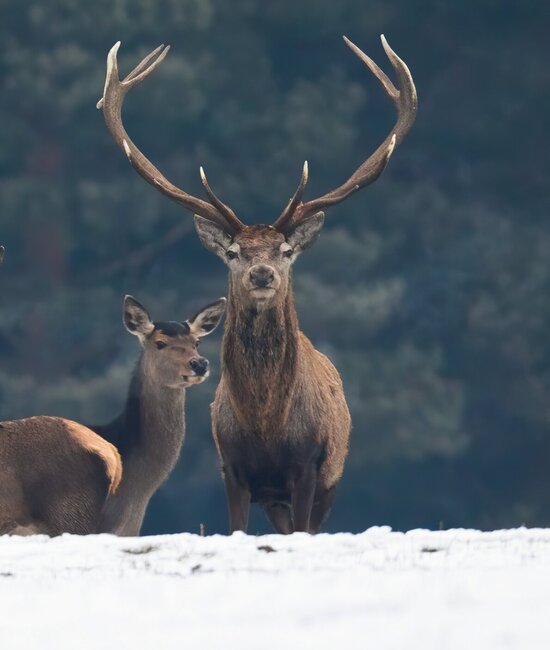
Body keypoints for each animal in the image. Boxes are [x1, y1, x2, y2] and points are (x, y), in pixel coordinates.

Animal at [99, 35, 418, 528]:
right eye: (234, 253)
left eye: (285, 252)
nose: (262, 272)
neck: (266, 425)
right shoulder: (233, 469)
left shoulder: (309, 466)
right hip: (273, 498)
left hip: (330, 481)